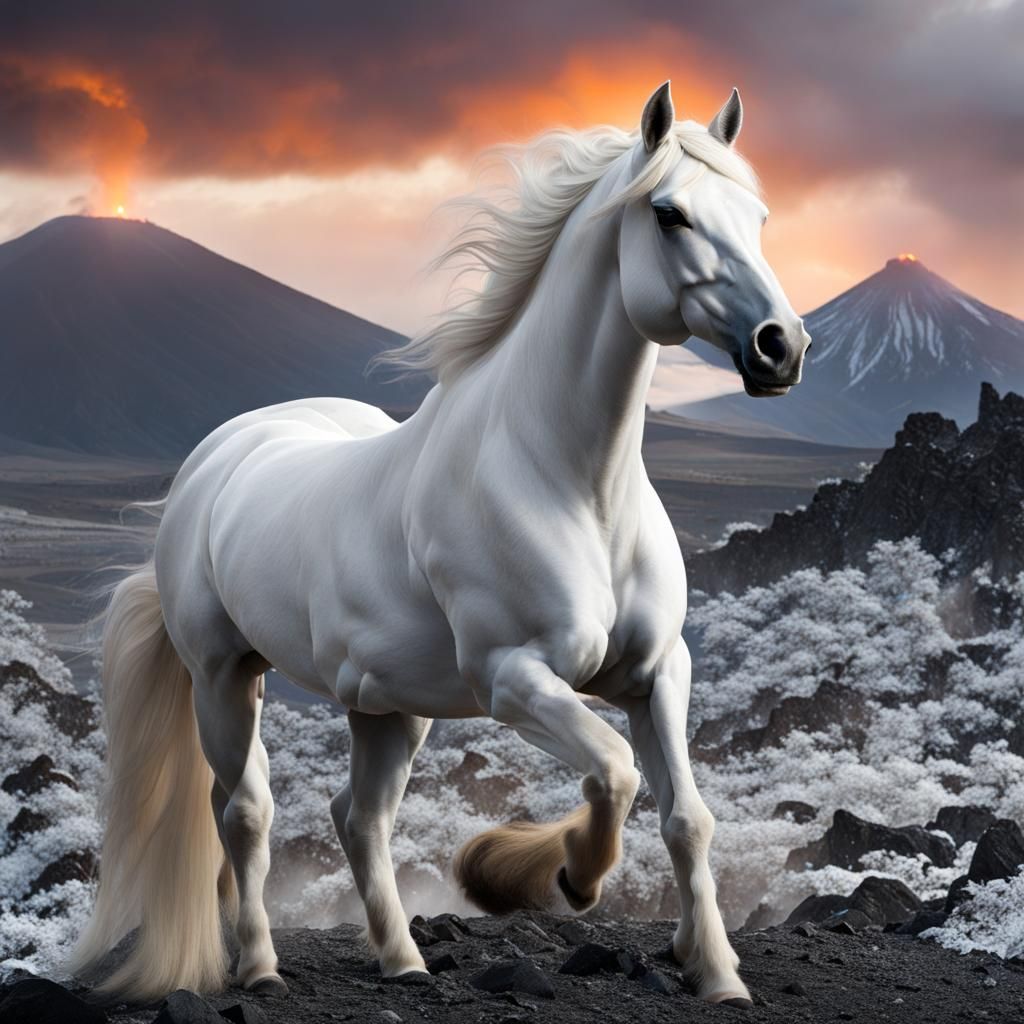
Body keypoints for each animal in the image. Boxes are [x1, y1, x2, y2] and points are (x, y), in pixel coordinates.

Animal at [73, 81, 809, 1007]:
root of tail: (216, 458)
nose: (783, 347)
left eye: (759, 215)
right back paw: (261, 965)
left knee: (358, 818)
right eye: (669, 213)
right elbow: (613, 770)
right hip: (225, 677)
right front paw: (566, 876)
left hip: (386, 708)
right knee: (243, 811)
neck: (572, 484)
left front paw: (712, 968)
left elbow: (687, 815)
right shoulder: (512, 679)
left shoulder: (657, 673)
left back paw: (402, 960)